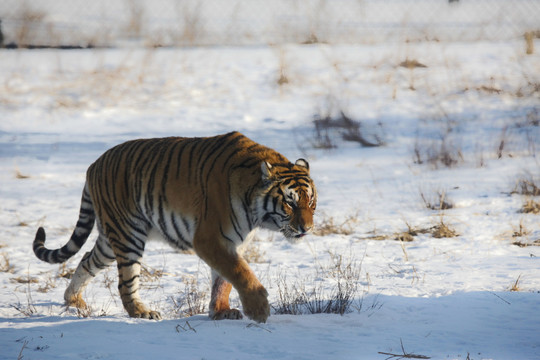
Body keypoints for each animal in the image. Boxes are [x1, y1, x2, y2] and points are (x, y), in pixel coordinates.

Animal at [33, 132, 316, 324]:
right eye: (290, 202)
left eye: (311, 202)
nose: (307, 229)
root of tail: (93, 165)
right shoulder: (210, 238)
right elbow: (240, 272)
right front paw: (258, 309)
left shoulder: (233, 242)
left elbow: (223, 279)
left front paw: (221, 311)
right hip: (128, 234)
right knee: (125, 281)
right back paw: (141, 312)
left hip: (109, 240)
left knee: (86, 260)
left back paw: (73, 301)